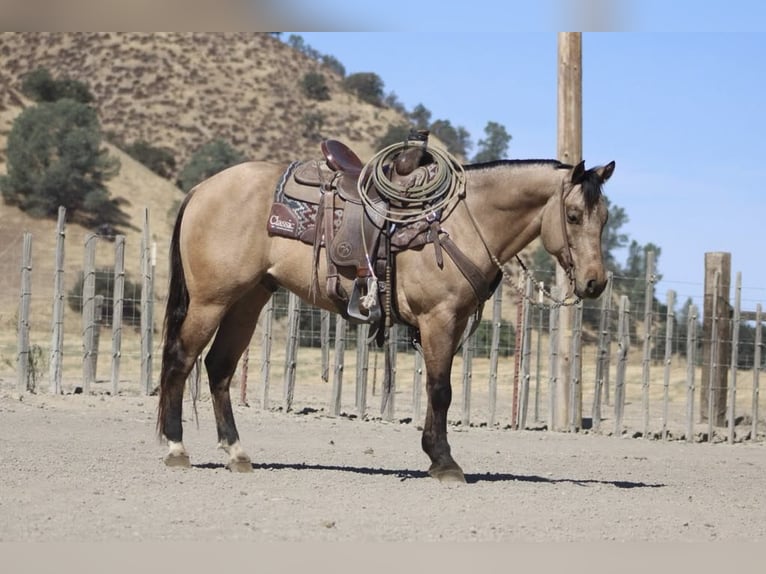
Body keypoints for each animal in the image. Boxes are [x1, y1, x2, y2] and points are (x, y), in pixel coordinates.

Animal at [157, 148, 615, 483]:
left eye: (606, 218)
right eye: (573, 216)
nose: (595, 282)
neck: (462, 223)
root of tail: (202, 188)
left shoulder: (451, 324)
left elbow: (437, 389)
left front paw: (435, 456)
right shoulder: (438, 319)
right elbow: (440, 390)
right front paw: (444, 462)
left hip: (248, 300)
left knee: (218, 368)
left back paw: (236, 453)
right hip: (211, 300)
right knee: (181, 360)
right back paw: (177, 448)